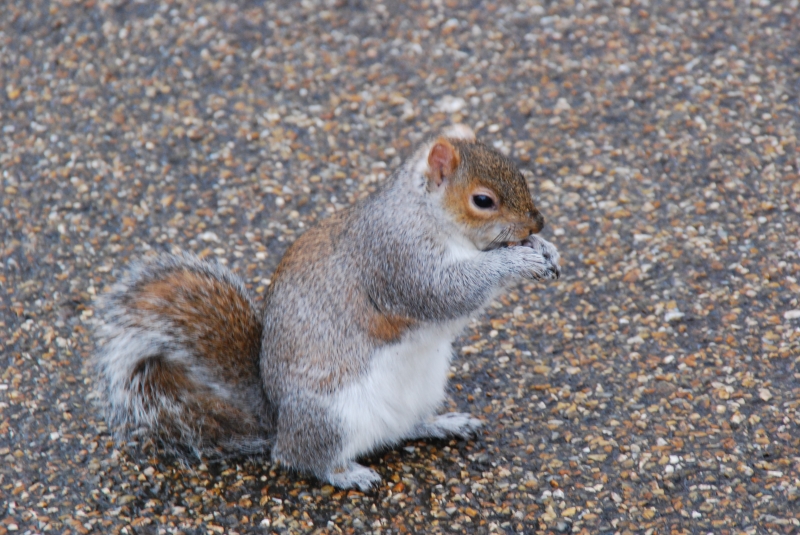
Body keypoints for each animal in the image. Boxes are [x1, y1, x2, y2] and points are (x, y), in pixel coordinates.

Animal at [94, 124, 560, 490]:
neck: (427, 214)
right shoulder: (396, 260)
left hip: (423, 387)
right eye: (483, 200)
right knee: (297, 458)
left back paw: (443, 424)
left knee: (405, 428)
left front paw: (544, 248)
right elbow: (445, 292)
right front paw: (517, 260)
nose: (537, 222)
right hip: (331, 417)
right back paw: (346, 473)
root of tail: (277, 417)